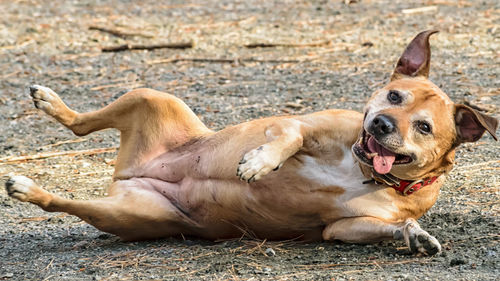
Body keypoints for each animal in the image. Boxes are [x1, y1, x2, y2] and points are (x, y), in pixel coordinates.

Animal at [3, 30, 496, 254]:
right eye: (394, 96)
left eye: (424, 127)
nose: (381, 125)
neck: (358, 170)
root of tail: (128, 173)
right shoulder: (301, 124)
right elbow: (288, 135)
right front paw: (259, 163)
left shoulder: (342, 227)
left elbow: (387, 226)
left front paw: (414, 236)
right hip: (150, 96)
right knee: (80, 126)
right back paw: (50, 105)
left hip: (132, 213)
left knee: (65, 201)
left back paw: (29, 188)